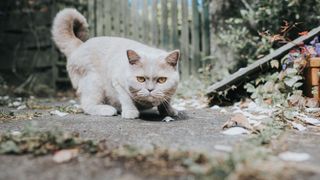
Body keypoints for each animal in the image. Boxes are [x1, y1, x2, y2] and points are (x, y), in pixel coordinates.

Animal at [52, 8, 180, 119]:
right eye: (140, 79)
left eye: (162, 80)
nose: (150, 89)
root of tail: (80, 45)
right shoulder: (117, 82)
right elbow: (126, 98)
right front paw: (131, 112)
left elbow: (166, 100)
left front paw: (169, 111)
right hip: (94, 82)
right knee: (87, 105)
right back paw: (108, 110)